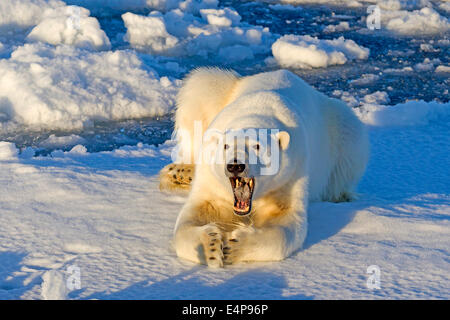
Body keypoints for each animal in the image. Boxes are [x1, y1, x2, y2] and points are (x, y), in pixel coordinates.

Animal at [160, 68, 368, 268]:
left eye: (257, 147)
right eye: (226, 146)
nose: (235, 165)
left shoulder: (291, 175)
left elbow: (287, 222)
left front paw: (233, 246)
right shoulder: (212, 181)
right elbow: (195, 213)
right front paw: (210, 247)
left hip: (339, 126)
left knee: (349, 142)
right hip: (216, 92)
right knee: (199, 88)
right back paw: (180, 172)